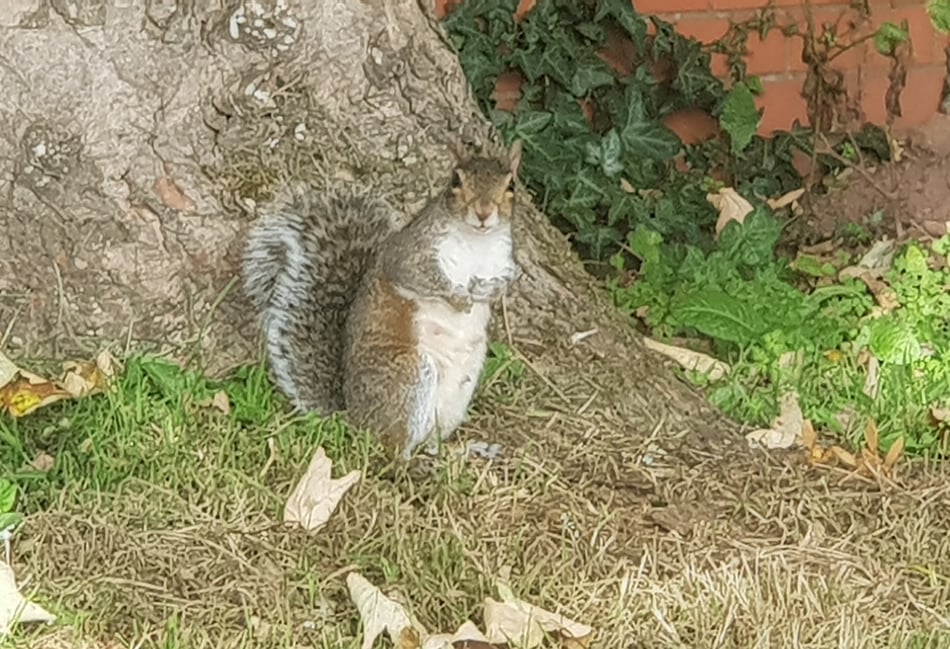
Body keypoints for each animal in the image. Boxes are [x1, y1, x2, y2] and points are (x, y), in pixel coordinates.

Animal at [242, 141, 523, 460]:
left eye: (511, 185)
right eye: (456, 180)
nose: (484, 213)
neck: (477, 241)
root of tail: (354, 418)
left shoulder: (503, 260)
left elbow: (505, 282)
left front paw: (489, 290)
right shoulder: (408, 253)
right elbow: (419, 276)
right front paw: (460, 296)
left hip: (457, 396)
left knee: (430, 444)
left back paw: (460, 452)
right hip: (409, 376)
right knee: (392, 447)